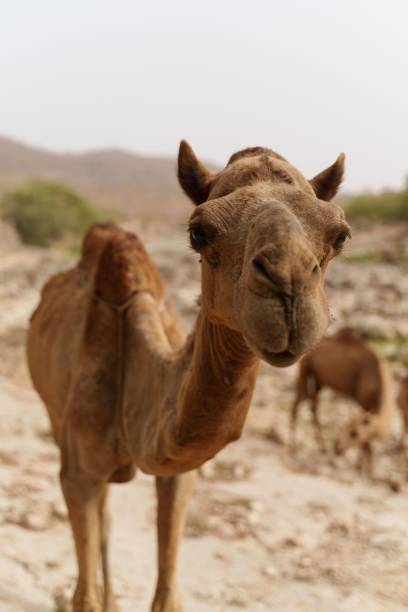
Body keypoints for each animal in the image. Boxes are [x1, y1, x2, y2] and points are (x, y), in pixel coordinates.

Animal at [27, 141, 350, 608]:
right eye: (199, 232)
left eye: (340, 235)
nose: (288, 287)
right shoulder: (78, 473)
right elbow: (83, 595)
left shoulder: (180, 474)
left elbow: (168, 595)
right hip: (57, 422)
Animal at [290, 328, 392, 476]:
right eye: (350, 430)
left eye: (354, 433)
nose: (337, 447)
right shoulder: (363, 402)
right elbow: (366, 445)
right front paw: (361, 468)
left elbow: (367, 443)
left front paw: (367, 470)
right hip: (305, 371)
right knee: (297, 405)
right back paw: (293, 447)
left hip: (319, 380)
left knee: (312, 406)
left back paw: (322, 447)